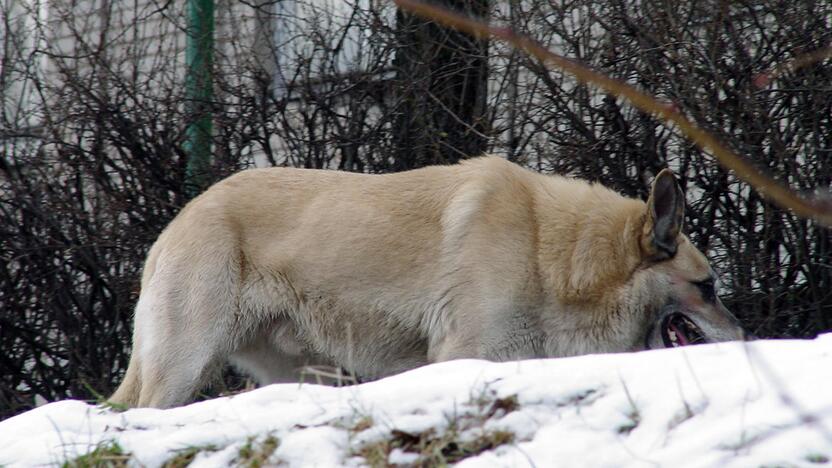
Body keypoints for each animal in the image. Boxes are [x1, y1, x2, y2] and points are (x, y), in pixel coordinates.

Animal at [109, 156, 748, 406]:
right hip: (183, 369)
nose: (747, 340)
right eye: (709, 287)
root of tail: (177, 224)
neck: (558, 255)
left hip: (305, 374)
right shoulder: (463, 355)